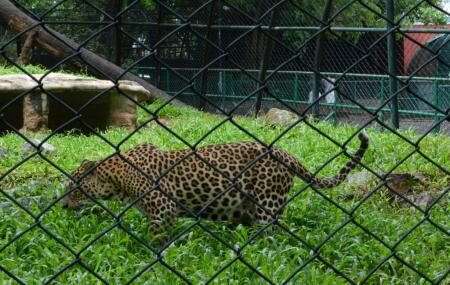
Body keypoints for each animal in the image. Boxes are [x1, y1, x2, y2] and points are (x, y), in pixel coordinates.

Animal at [60, 132, 370, 232]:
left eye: (73, 188)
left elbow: (157, 239)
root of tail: (284, 152)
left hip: (267, 203)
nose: (62, 206)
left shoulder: (163, 208)